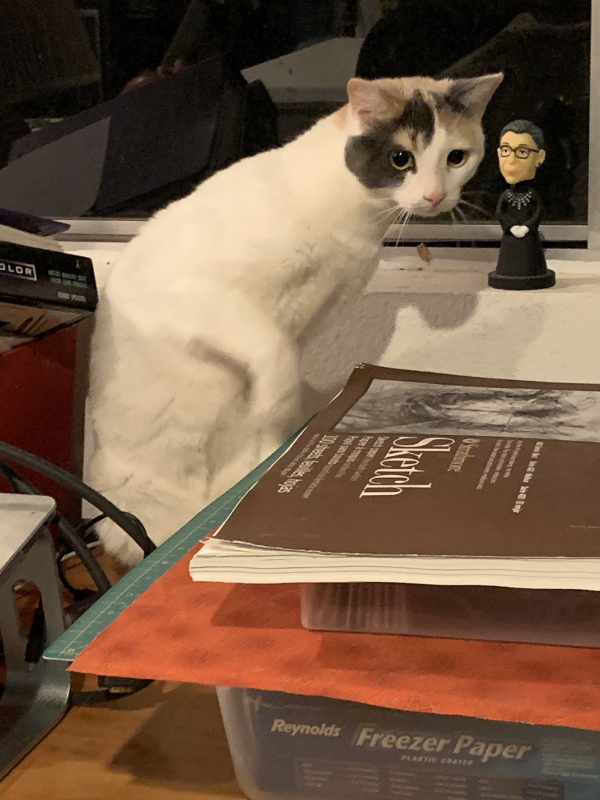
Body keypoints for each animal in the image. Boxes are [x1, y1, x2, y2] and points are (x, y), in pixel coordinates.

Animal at [88, 72, 503, 566]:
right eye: (401, 158)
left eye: (456, 157)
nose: (436, 195)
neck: (357, 223)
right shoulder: (203, 299)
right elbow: (274, 354)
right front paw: (271, 408)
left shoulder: (311, 319)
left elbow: (285, 358)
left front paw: (276, 433)